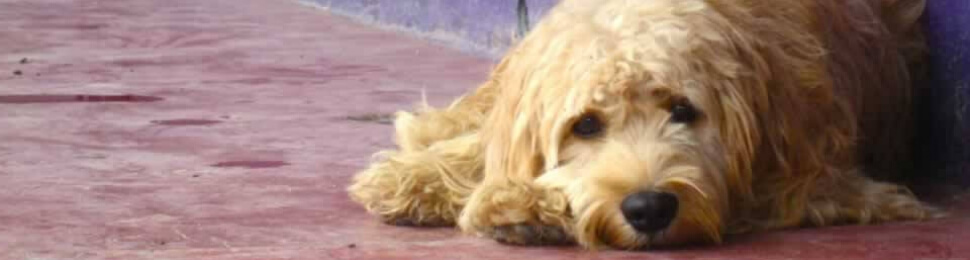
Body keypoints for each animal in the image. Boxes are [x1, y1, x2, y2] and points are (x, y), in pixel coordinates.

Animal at [348, 0, 936, 250]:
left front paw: (525, 206)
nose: (649, 208)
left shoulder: (816, 175)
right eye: (585, 125)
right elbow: (488, 145)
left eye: (683, 111)